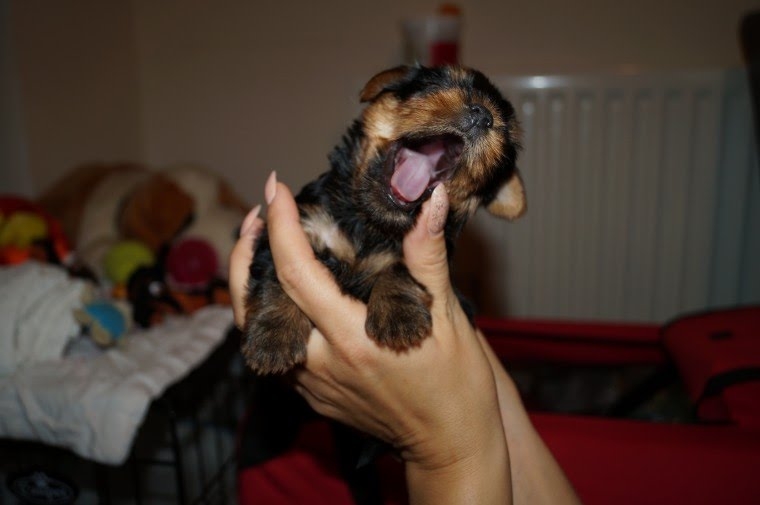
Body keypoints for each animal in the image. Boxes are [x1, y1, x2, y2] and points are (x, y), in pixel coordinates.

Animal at [242, 64, 524, 374]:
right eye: (439, 82)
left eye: (507, 136)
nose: (484, 116)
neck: (370, 224)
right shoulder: (299, 225)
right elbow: (274, 271)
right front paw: (274, 335)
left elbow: (400, 266)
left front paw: (400, 314)